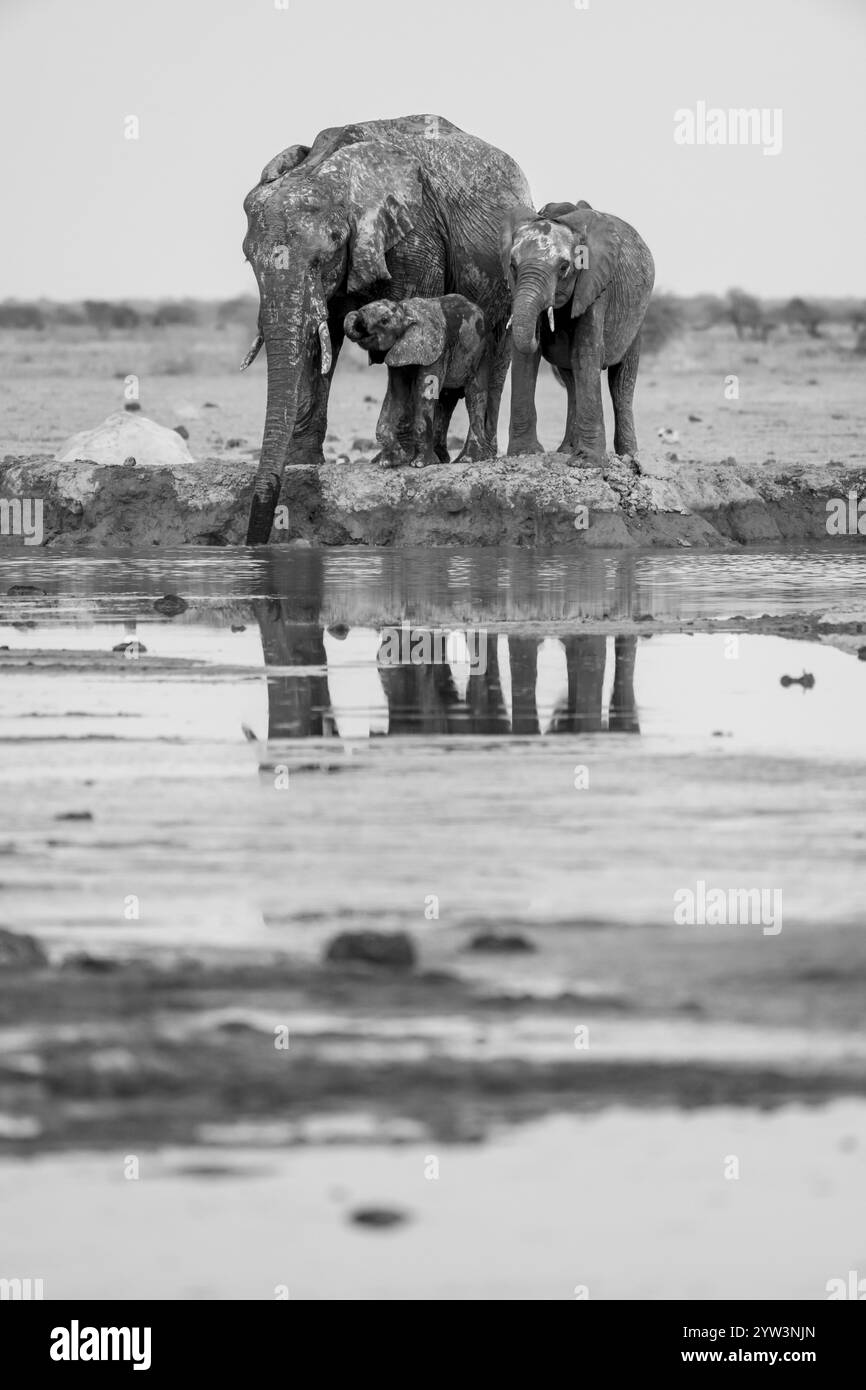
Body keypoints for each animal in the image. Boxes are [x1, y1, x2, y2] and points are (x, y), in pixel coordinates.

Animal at [346, 296, 494, 469]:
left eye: (384, 321)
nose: (357, 314)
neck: (405, 311)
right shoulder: (399, 351)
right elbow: (397, 393)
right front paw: (391, 461)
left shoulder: (436, 351)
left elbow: (425, 391)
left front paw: (419, 464)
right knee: (447, 400)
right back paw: (445, 459)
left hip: (481, 351)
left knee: (474, 395)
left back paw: (469, 459)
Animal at [500, 201, 656, 464]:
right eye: (512, 265)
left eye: (564, 267)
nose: (543, 331)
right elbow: (525, 357)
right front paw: (524, 453)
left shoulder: (595, 284)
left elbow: (586, 352)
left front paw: (587, 462)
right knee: (571, 381)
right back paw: (566, 450)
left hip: (637, 317)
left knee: (621, 382)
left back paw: (628, 454)